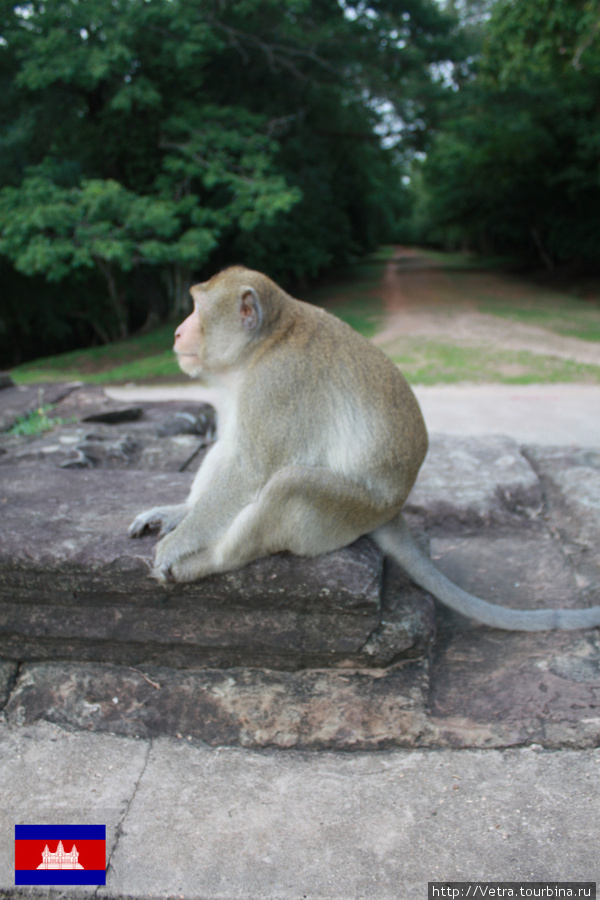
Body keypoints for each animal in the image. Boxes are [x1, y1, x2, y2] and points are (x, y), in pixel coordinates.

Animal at [129, 266, 600, 632]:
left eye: (197, 309)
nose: (177, 330)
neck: (266, 342)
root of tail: (394, 508)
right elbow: (231, 450)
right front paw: (179, 512)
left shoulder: (277, 383)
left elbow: (250, 470)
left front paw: (180, 544)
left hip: (350, 510)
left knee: (289, 485)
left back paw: (211, 561)